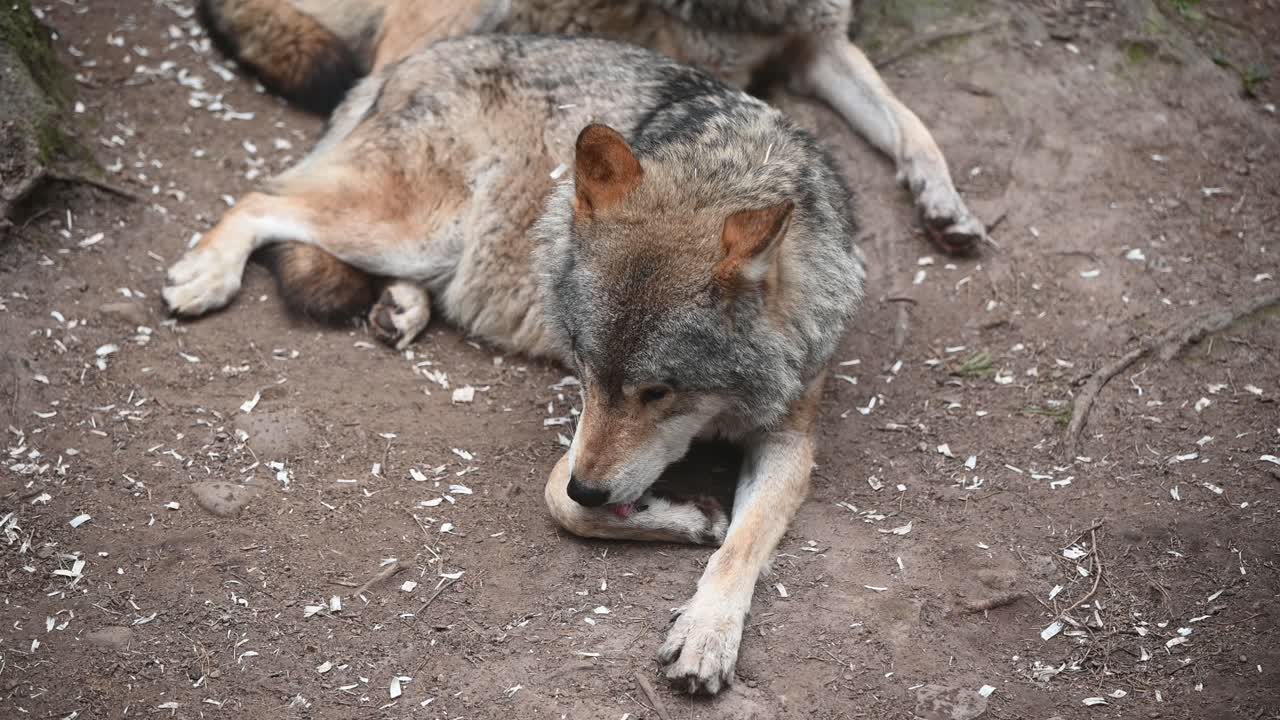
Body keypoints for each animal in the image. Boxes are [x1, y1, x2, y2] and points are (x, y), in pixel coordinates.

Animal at [162, 34, 864, 694]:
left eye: (661, 391)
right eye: (584, 369)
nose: (592, 488)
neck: (730, 171)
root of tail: (415, 59)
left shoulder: (789, 437)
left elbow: (742, 546)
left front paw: (707, 633)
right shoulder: (581, 438)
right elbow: (560, 501)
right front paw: (687, 520)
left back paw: (400, 308)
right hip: (416, 227)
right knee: (261, 198)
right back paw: (206, 274)